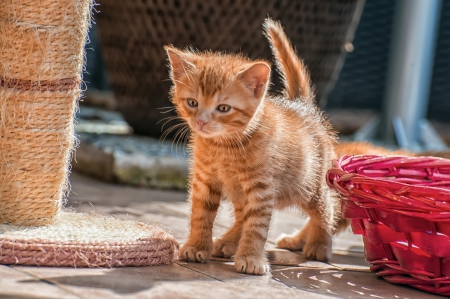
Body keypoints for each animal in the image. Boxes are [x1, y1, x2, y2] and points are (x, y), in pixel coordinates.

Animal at [165, 19, 344, 276]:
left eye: (223, 108)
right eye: (192, 103)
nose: (201, 122)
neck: (224, 146)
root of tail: (303, 107)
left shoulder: (262, 187)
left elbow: (257, 225)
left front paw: (250, 258)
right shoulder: (204, 180)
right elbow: (201, 214)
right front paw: (197, 245)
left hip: (312, 186)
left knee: (326, 209)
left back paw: (320, 244)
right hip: (240, 192)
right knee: (242, 215)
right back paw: (228, 241)